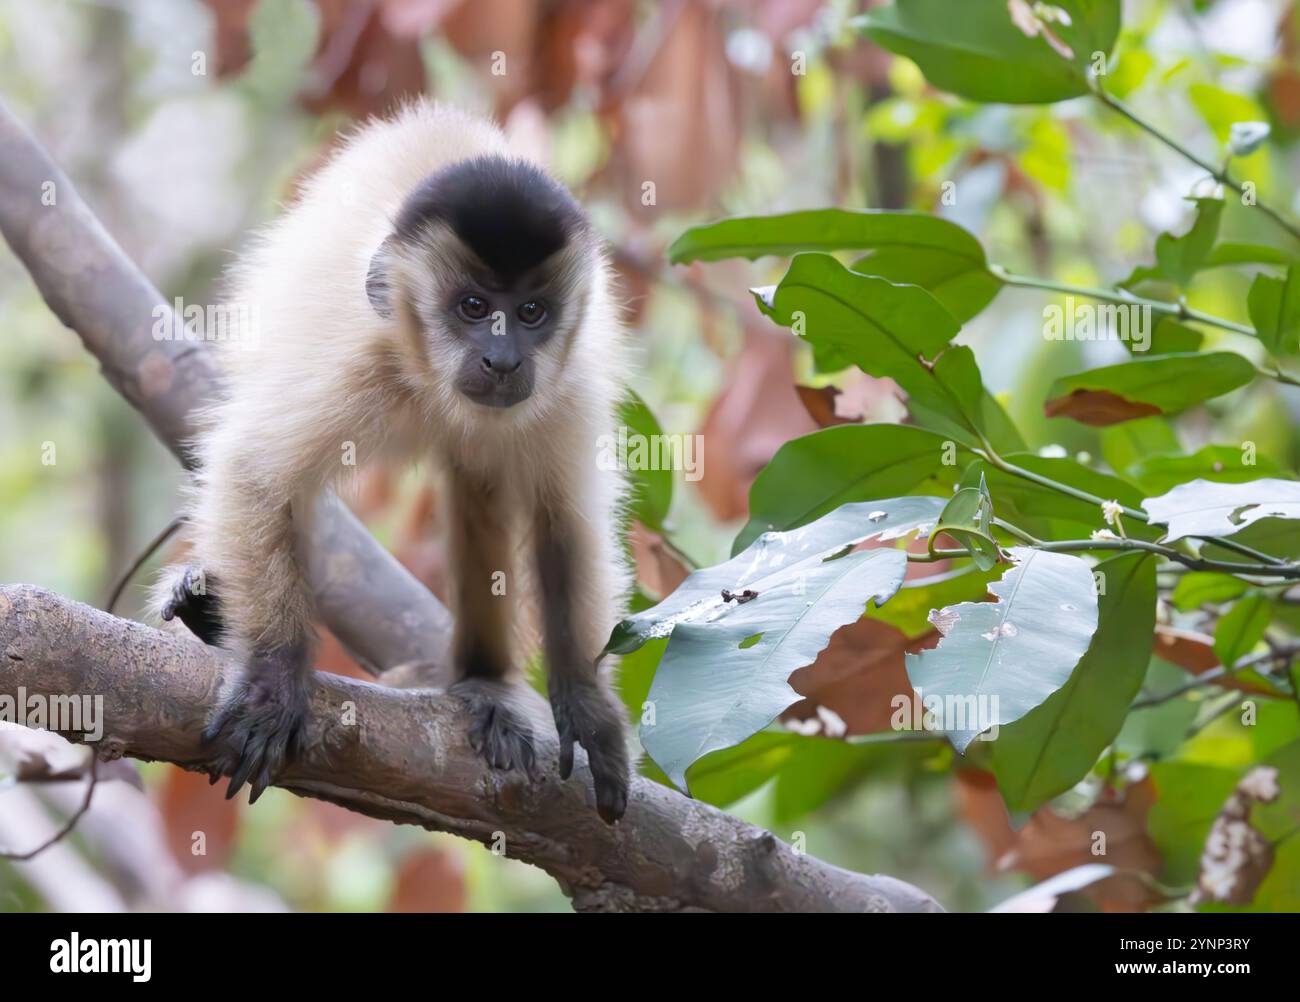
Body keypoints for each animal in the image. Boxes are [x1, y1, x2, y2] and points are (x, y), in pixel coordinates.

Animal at [154, 100, 631, 821]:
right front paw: (272, 680)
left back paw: (484, 684)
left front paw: (587, 703)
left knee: (481, 481)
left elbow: (566, 527)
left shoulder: (568, 384)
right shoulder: (357, 361)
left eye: (530, 312)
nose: (502, 359)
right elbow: (256, 471)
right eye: (472, 308)